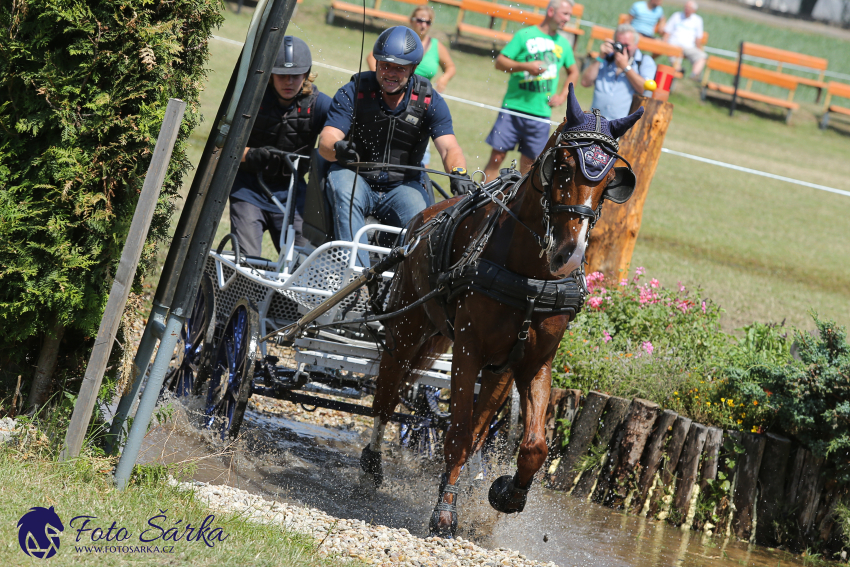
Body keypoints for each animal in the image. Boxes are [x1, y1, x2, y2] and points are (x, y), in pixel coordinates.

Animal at [358, 85, 644, 540]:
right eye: (562, 167)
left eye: (609, 182)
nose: (568, 254)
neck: (528, 275)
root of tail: (424, 219)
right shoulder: (468, 350)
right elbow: (457, 431)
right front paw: (445, 512)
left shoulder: (532, 361)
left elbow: (532, 445)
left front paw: (506, 492)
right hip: (407, 328)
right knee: (387, 394)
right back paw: (372, 463)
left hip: (494, 367)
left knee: (477, 426)